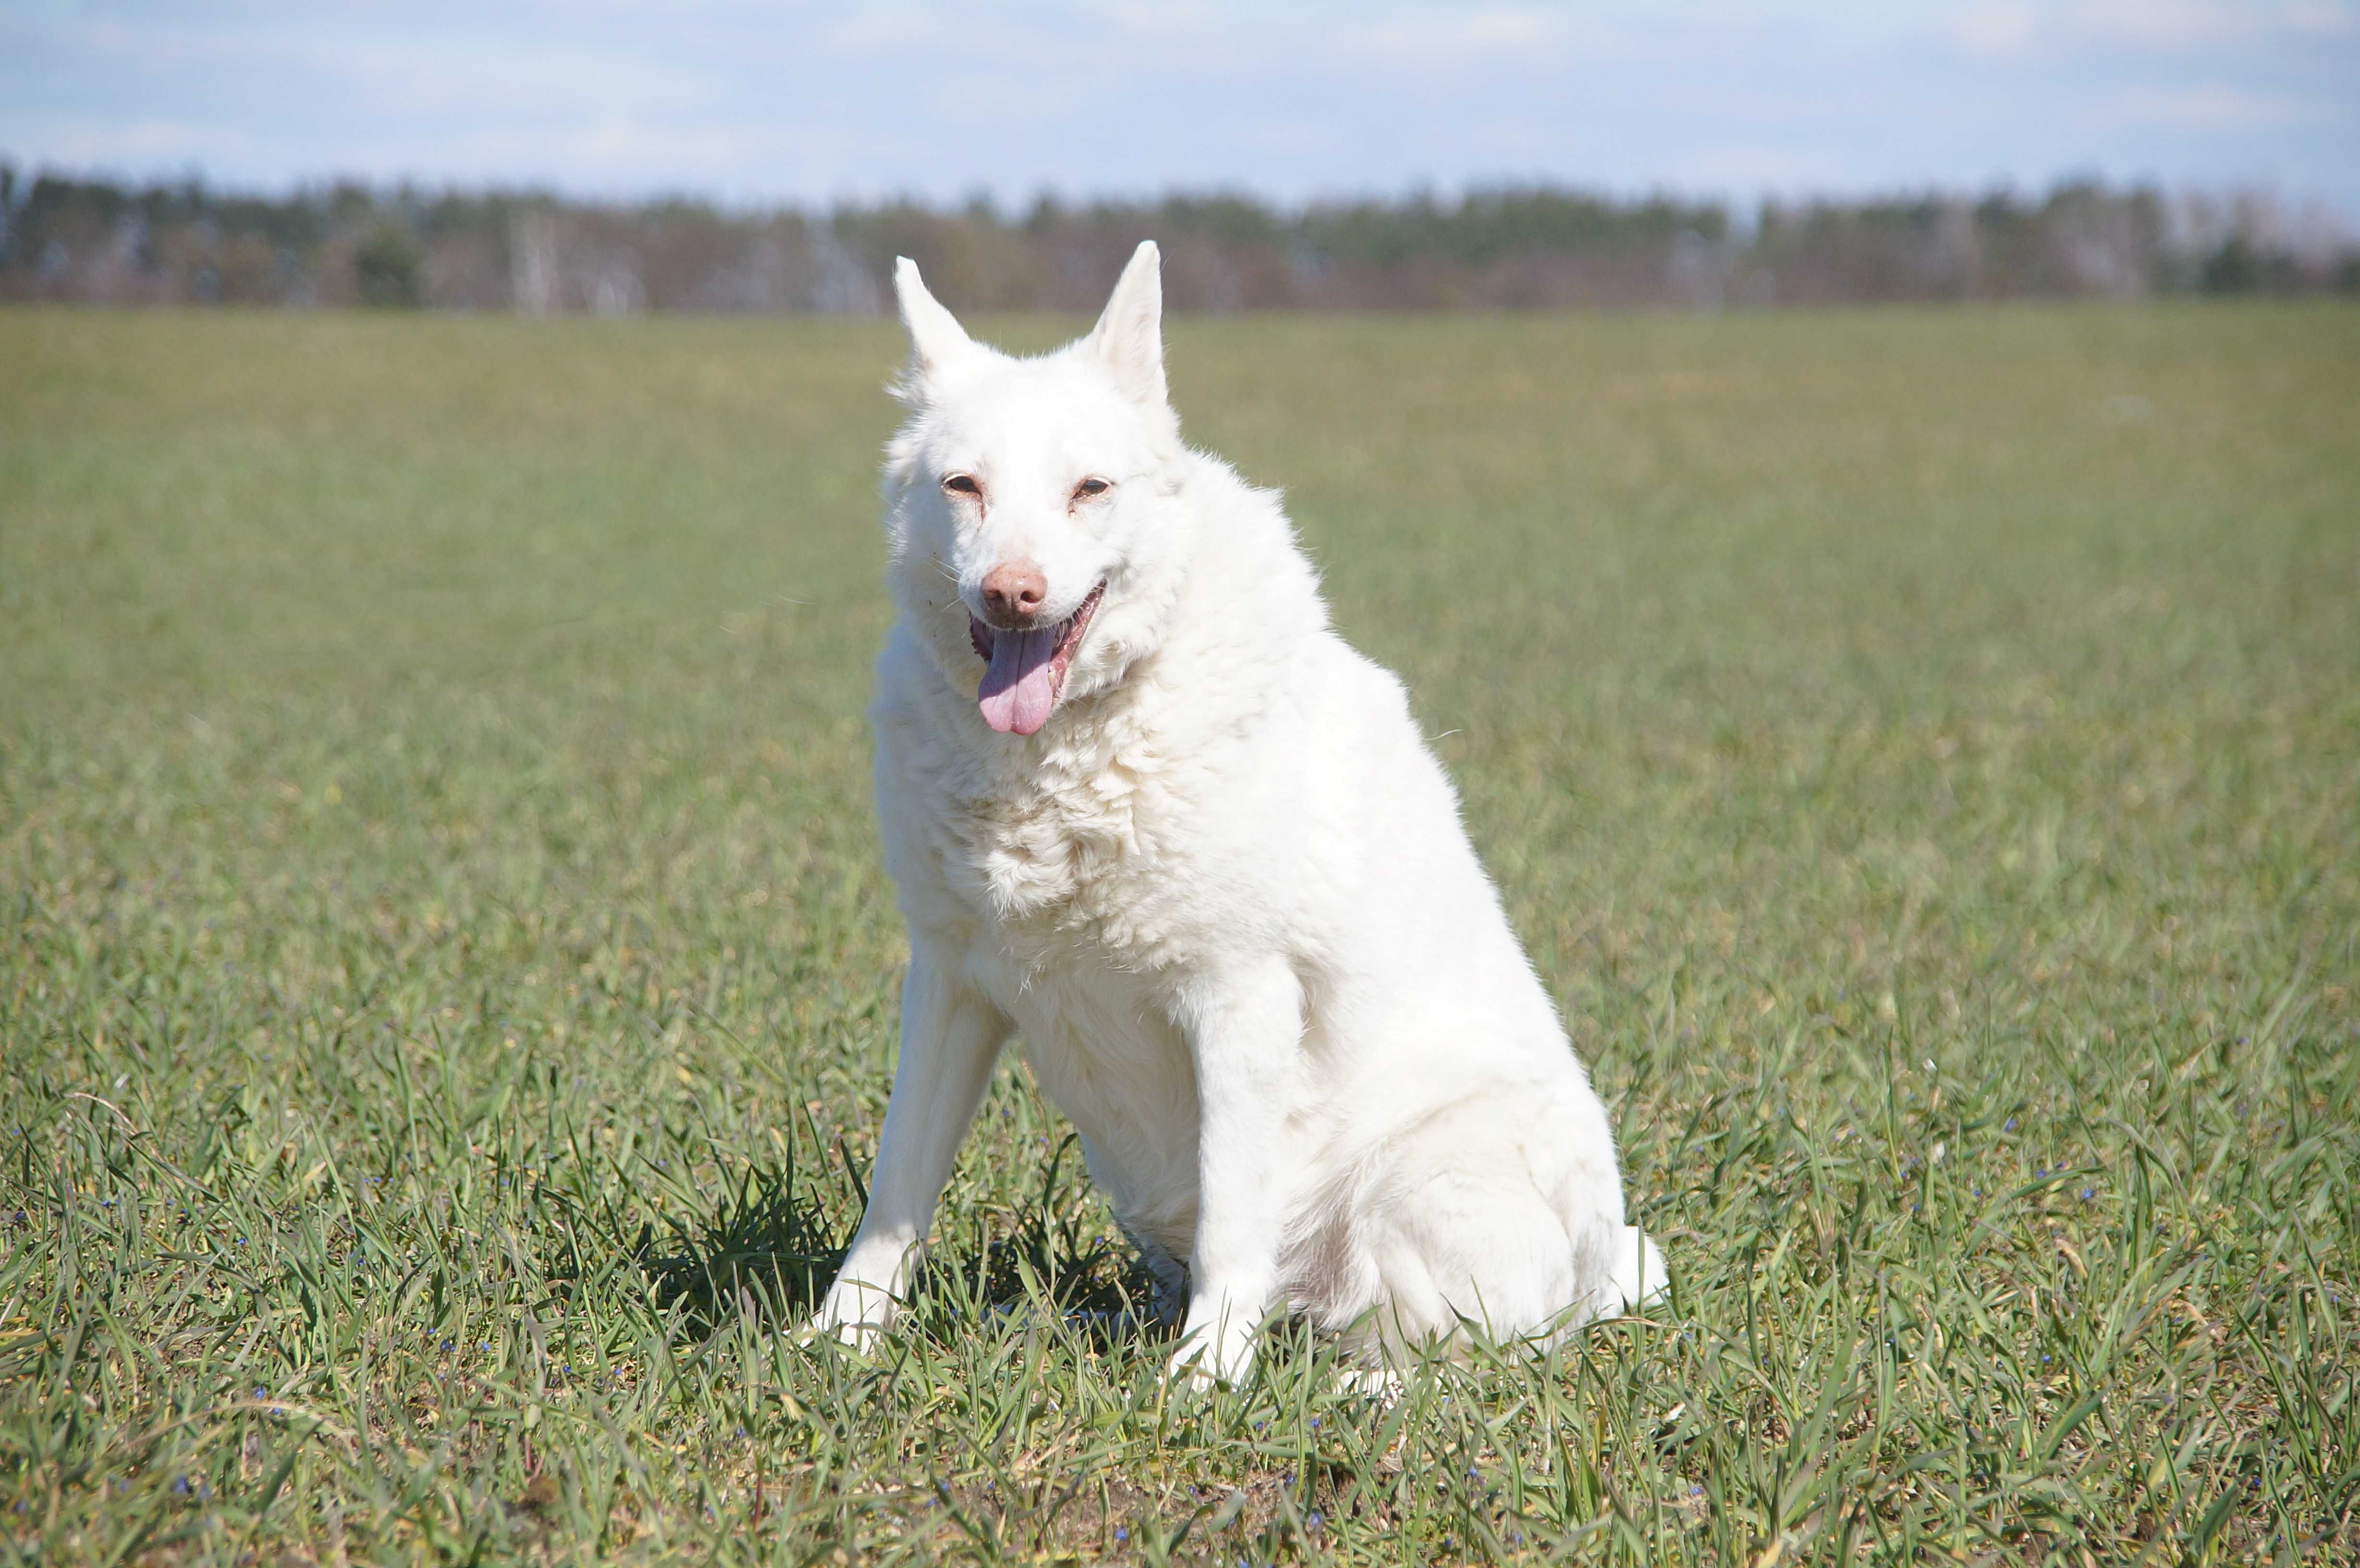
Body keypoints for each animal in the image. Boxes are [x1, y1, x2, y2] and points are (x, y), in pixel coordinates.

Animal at [821, 245, 1671, 1388]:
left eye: (1090, 489)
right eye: (964, 487)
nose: (1010, 593)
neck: (1069, 749)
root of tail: (1602, 1266)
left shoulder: (1235, 997)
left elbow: (1234, 1217)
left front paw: (1203, 1386)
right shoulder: (949, 984)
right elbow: (894, 1188)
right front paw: (834, 1342)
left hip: (1423, 1178)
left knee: (1478, 1352)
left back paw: (1359, 1388)